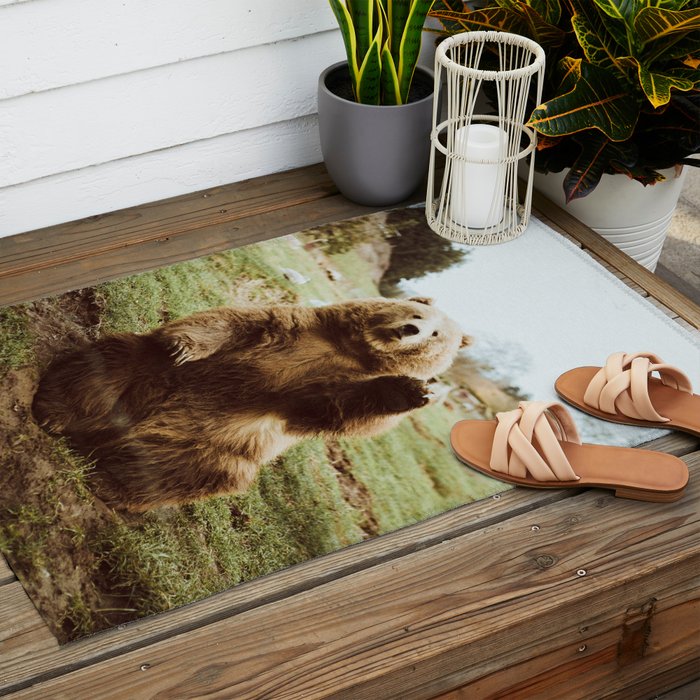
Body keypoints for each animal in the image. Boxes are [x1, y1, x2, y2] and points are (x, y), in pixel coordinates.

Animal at [32, 297, 469, 511]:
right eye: (417, 313)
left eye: (435, 334)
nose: (409, 329)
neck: (349, 351)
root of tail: (120, 431)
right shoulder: (287, 330)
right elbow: (226, 324)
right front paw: (183, 346)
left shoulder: (312, 392)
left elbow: (334, 410)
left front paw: (416, 391)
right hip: (149, 374)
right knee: (104, 370)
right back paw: (55, 413)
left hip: (217, 448)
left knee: (177, 473)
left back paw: (111, 484)